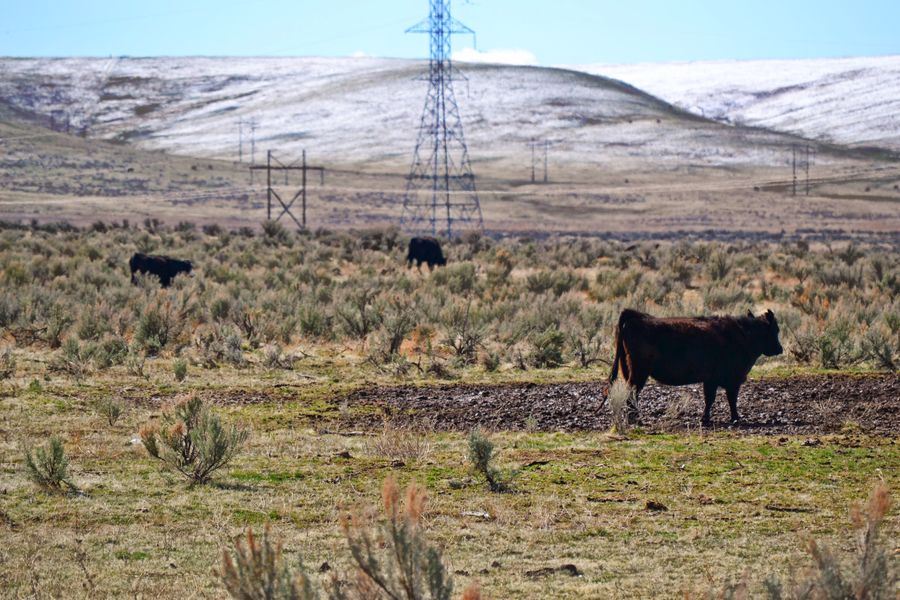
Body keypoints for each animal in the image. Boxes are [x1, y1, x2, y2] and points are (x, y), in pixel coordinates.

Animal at [608, 308, 783, 425]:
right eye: (775, 330)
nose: (780, 349)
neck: (742, 335)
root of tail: (635, 316)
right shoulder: (732, 380)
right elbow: (730, 399)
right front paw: (735, 418)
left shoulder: (711, 380)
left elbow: (709, 399)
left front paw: (705, 418)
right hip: (639, 373)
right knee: (632, 394)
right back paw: (636, 419)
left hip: (629, 371)